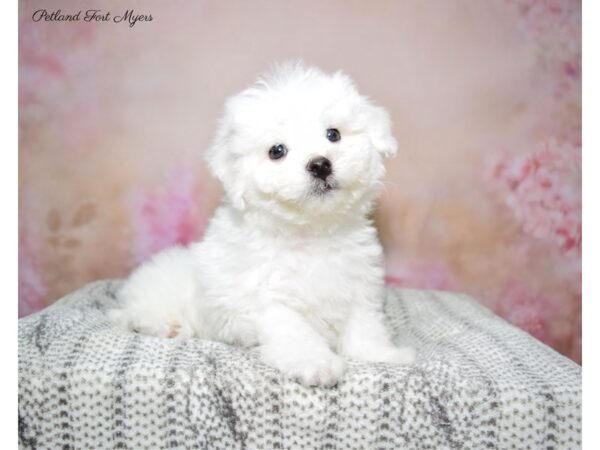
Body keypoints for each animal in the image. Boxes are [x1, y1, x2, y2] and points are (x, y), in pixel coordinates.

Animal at [108, 62, 414, 386]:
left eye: (333, 134)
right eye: (276, 151)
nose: (320, 164)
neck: (311, 232)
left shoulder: (358, 286)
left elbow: (364, 325)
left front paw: (381, 353)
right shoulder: (268, 300)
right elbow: (295, 332)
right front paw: (317, 363)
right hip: (157, 293)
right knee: (133, 314)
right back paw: (162, 326)